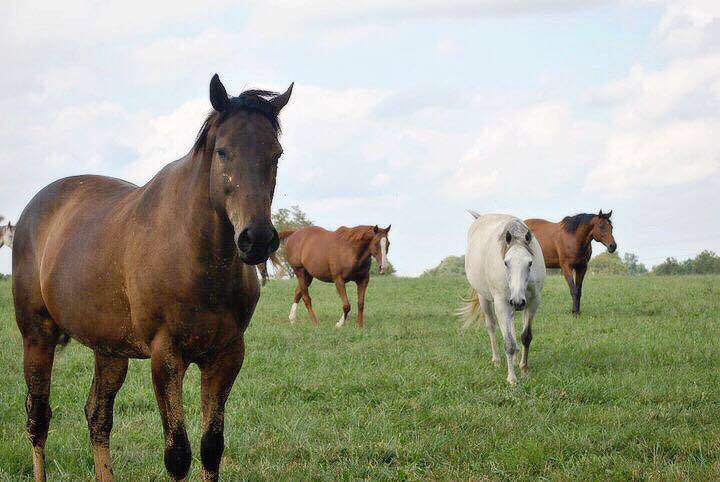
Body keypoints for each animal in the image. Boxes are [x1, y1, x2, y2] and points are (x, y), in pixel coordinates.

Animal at [11, 73, 292, 480]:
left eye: (276, 154)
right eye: (223, 151)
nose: (256, 238)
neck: (199, 261)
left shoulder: (226, 354)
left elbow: (211, 448)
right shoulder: (166, 355)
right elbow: (178, 454)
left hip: (108, 350)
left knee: (98, 418)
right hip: (37, 335)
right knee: (38, 420)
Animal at [462, 211, 544, 384]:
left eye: (530, 263)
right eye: (506, 263)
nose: (518, 301)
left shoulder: (533, 302)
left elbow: (526, 336)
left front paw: (524, 368)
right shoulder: (501, 304)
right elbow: (508, 343)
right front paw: (512, 378)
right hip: (485, 299)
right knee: (491, 327)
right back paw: (496, 361)